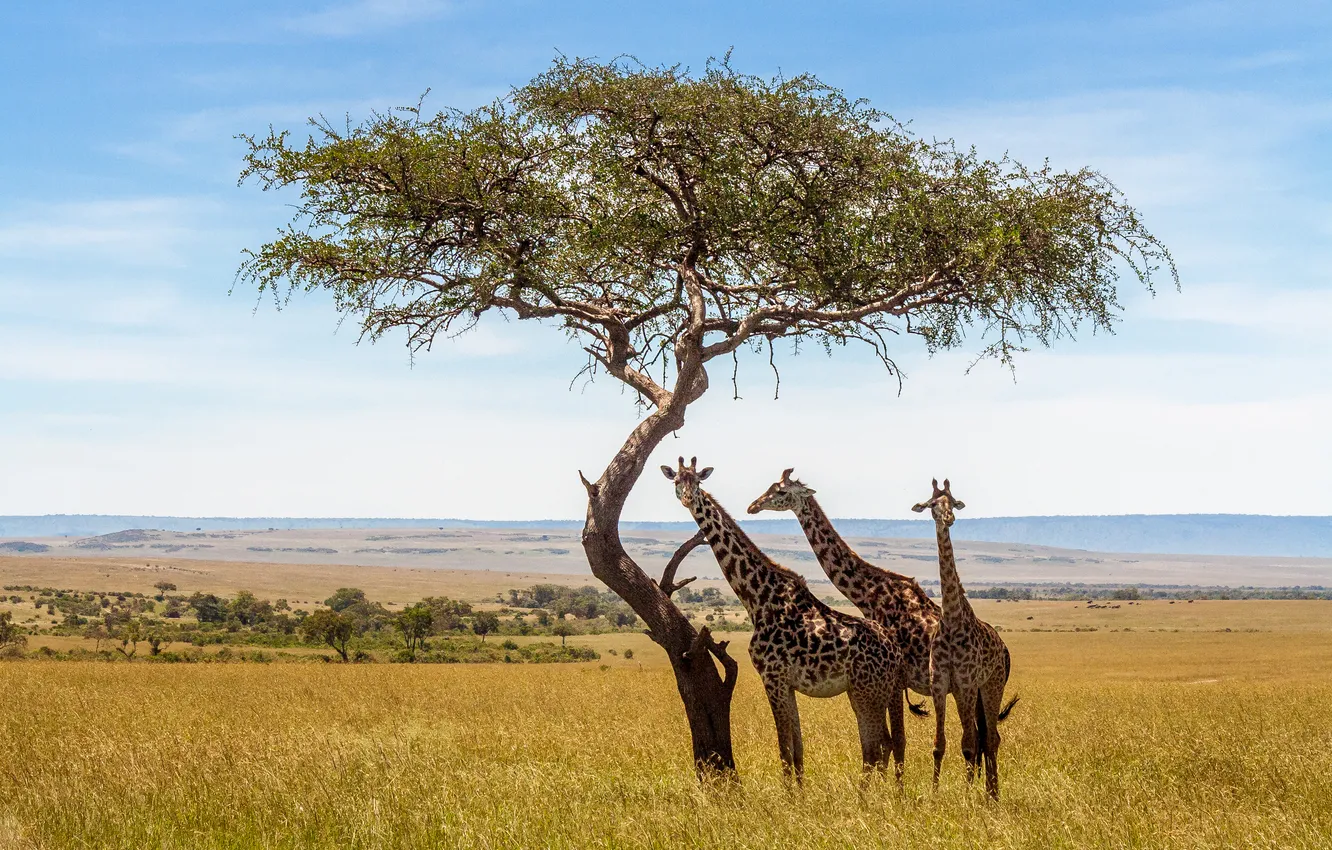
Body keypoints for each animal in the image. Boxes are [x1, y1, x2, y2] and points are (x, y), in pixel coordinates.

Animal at [662, 457, 908, 782]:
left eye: (698, 481)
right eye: (677, 481)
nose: (689, 498)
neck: (757, 597)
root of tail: (895, 651)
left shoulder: (772, 676)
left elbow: (784, 749)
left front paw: (788, 794)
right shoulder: (788, 684)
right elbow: (797, 749)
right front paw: (800, 792)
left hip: (868, 690)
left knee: (874, 749)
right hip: (871, 691)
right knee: (884, 745)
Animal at [912, 478, 1017, 800]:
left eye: (954, 502)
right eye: (933, 504)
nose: (949, 518)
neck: (952, 620)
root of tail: (1004, 650)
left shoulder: (968, 683)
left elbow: (969, 745)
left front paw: (968, 797)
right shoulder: (941, 684)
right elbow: (939, 745)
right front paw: (934, 795)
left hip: (991, 685)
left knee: (990, 738)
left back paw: (992, 795)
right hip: (969, 692)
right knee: (983, 736)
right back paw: (989, 791)